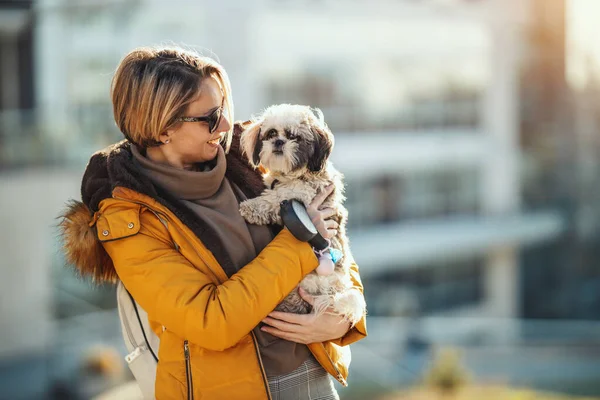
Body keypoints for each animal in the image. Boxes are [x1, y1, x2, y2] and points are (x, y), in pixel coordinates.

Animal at [239, 104, 366, 324]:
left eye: (294, 137)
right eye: (271, 133)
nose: (279, 142)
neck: (290, 175)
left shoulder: (306, 192)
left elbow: (276, 197)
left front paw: (251, 207)